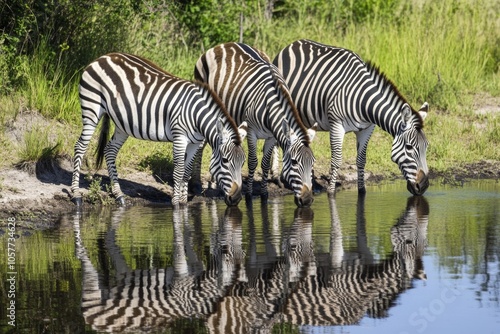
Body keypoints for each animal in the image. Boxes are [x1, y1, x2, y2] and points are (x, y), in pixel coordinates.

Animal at [71, 52, 248, 206]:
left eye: (243, 162)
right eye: (225, 161)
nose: (237, 199)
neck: (197, 116)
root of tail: (102, 57)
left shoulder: (195, 142)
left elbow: (187, 171)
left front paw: (184, 201)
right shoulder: (179, 137)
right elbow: (178, 171)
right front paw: (176, 203)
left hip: (122, 124)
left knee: (109, 151)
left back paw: (119, 195)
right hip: (91, 108)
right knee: (80, 147)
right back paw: (76, 195)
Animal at [192, 43, 316, 207]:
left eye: (312, 163)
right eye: (294, 162)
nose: (307, 200)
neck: (270, 106)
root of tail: (224, 45)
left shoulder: (271, 136)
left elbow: (264, 163)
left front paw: (264, 194)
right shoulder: (251, 131)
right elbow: (252, 162)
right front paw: (249, 195)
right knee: (201, 144)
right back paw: (197, 184)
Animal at [274, 39, 430, 196]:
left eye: (427, 146)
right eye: (409, 147)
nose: (424, 186)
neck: (363, 101)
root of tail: (292, 44)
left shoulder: (367, 128)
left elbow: (361, 160)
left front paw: (362, 190)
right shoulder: (336, 125)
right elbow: (336, 160)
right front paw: (331, 192)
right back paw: (277, 177)